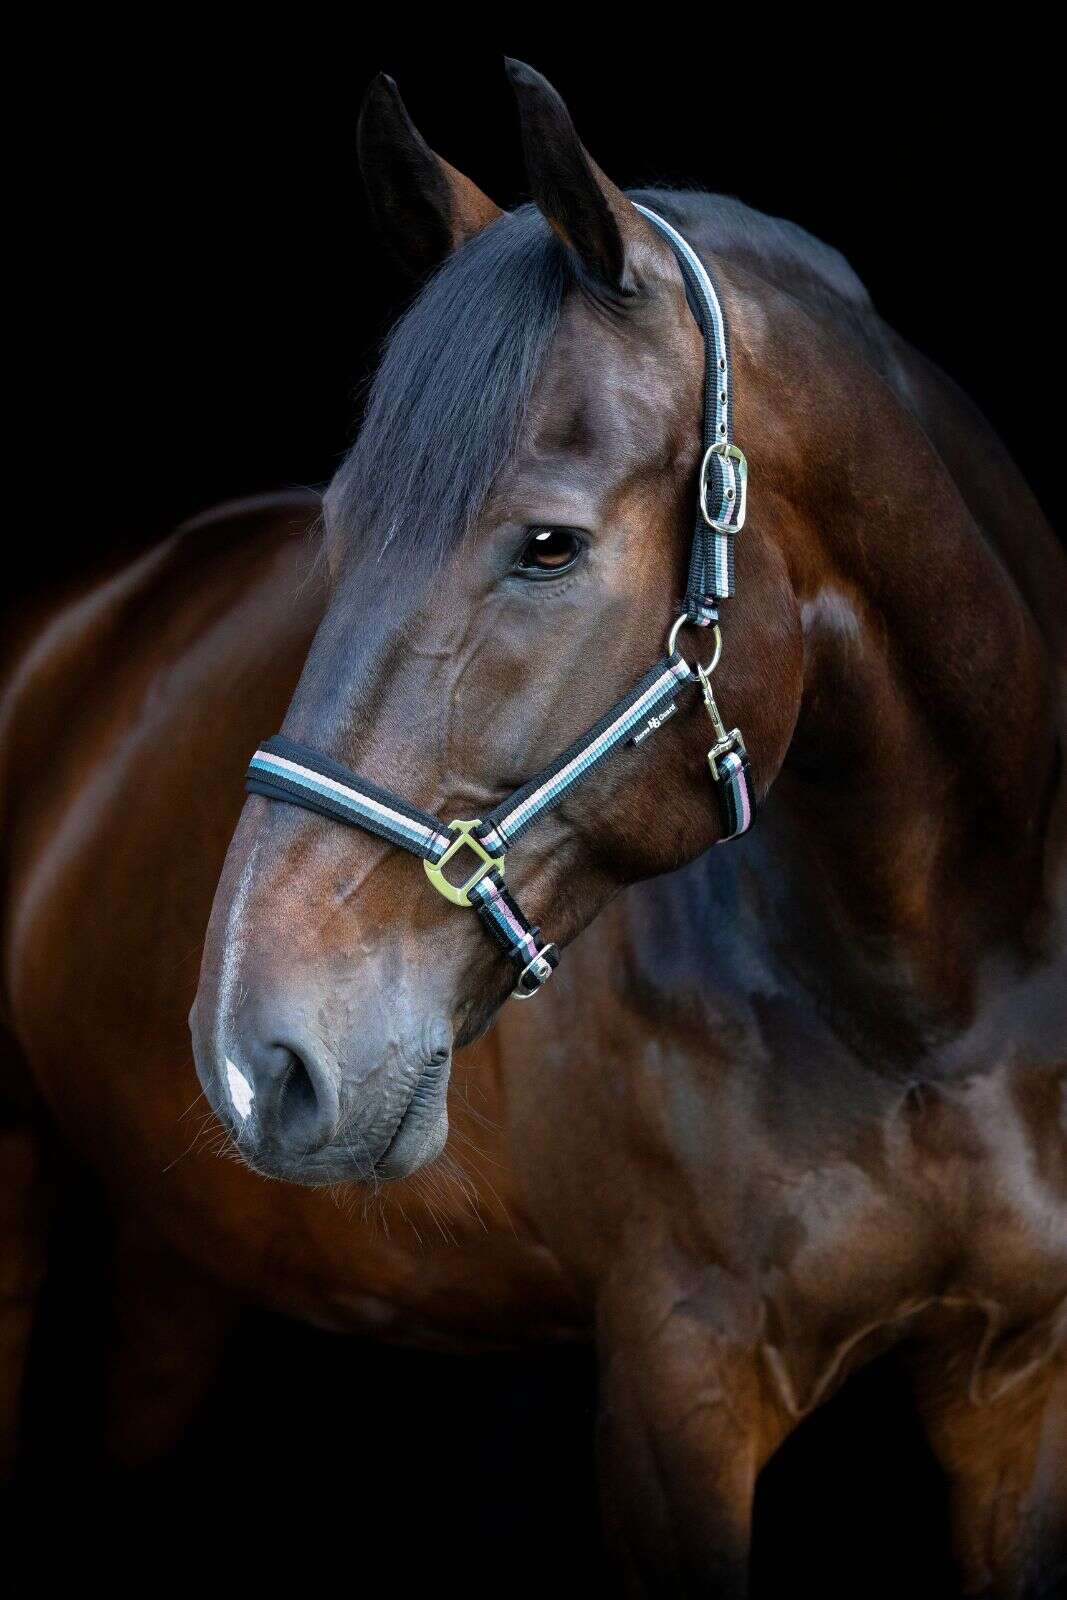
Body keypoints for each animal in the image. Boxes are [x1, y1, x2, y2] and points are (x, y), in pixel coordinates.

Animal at [3, 58, 1066, 1596]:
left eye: (548, 545)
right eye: (337, 525)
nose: (257, 1055)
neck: (935, 995)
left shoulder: (1017, 1387)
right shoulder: (676, 1389)